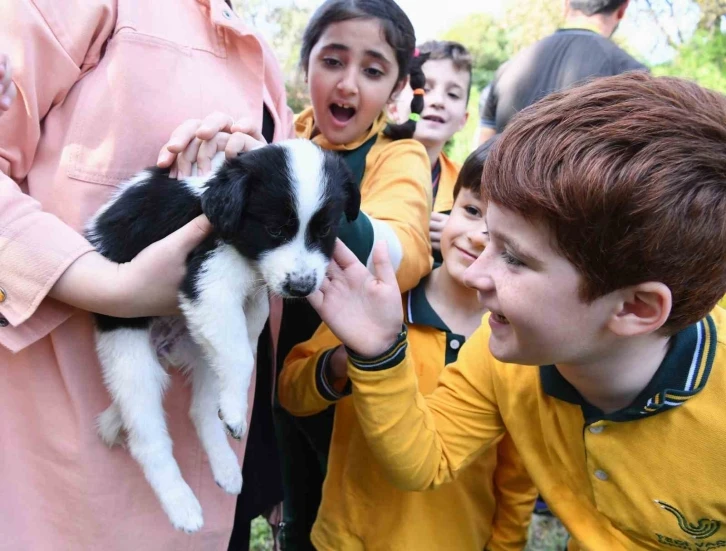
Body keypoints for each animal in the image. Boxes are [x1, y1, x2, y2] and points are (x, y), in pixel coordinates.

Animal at [86, 140, 360, 532]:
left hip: (198, 349)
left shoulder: (239, 298)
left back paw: (226, 466)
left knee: (200, 409)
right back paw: (182, 505)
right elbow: (241, 355)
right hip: (128, 350)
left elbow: (251, 326)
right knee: (147, 436)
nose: (301, 287)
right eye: (275, 230)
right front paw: (235, 405)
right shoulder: (208, 282)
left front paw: (232, 403)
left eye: (323, 232)